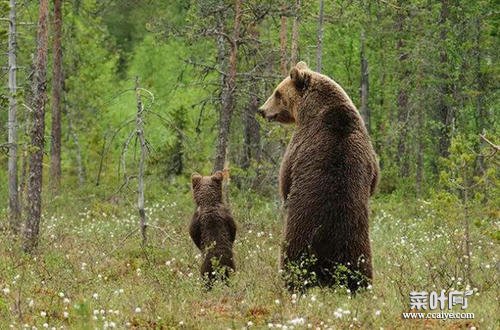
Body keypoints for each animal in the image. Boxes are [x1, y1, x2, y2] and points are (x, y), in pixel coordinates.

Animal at [258, 62, 378, 292]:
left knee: (292, 263)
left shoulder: (300, 142)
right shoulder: (367, 149)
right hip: (357, 244)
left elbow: (285, 177)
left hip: (300, 236)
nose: (261, 110)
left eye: (277, 93)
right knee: (361, 270)